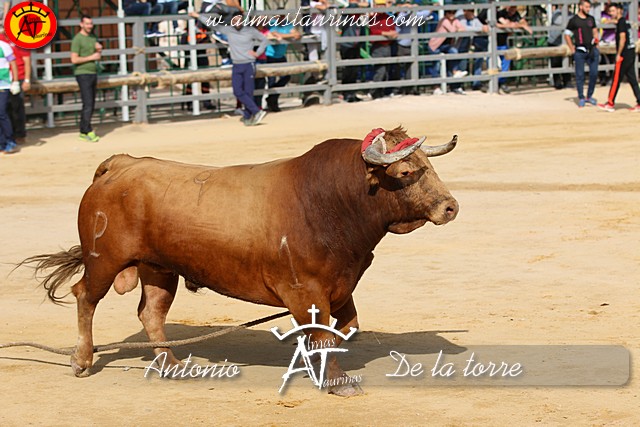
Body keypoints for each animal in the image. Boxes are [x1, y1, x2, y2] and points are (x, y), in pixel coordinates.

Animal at [23, 126, 458, 396]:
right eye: (406, 170)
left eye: (431, 165)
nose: (450, 207)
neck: (332, 201)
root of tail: (121, 163)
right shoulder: (305, 291)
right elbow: (321, 336)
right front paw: (337, 382)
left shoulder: (341, 284)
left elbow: (345, 328)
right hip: (105, 258)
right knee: (86, 296)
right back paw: (81, 360)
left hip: (159, 268)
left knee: (151, 313)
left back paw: (172, 365)